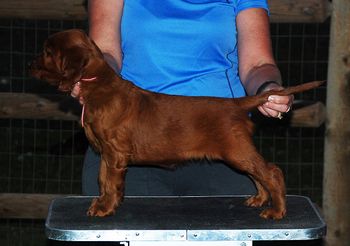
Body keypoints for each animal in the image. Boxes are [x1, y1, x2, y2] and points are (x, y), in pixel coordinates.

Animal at [30, 28, 326, 219]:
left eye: (47, 51)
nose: (32, 65)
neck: (100, 85)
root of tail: (235, 104)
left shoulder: (115, 153)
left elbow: (111, 182)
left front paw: (105, 208)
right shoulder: (105, 152)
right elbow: (102, 179)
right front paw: (102, 202)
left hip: (236, 150)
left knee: (271, 171)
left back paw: (276, 210)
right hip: (237, 152)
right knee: (258, 173)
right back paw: (260, 199)